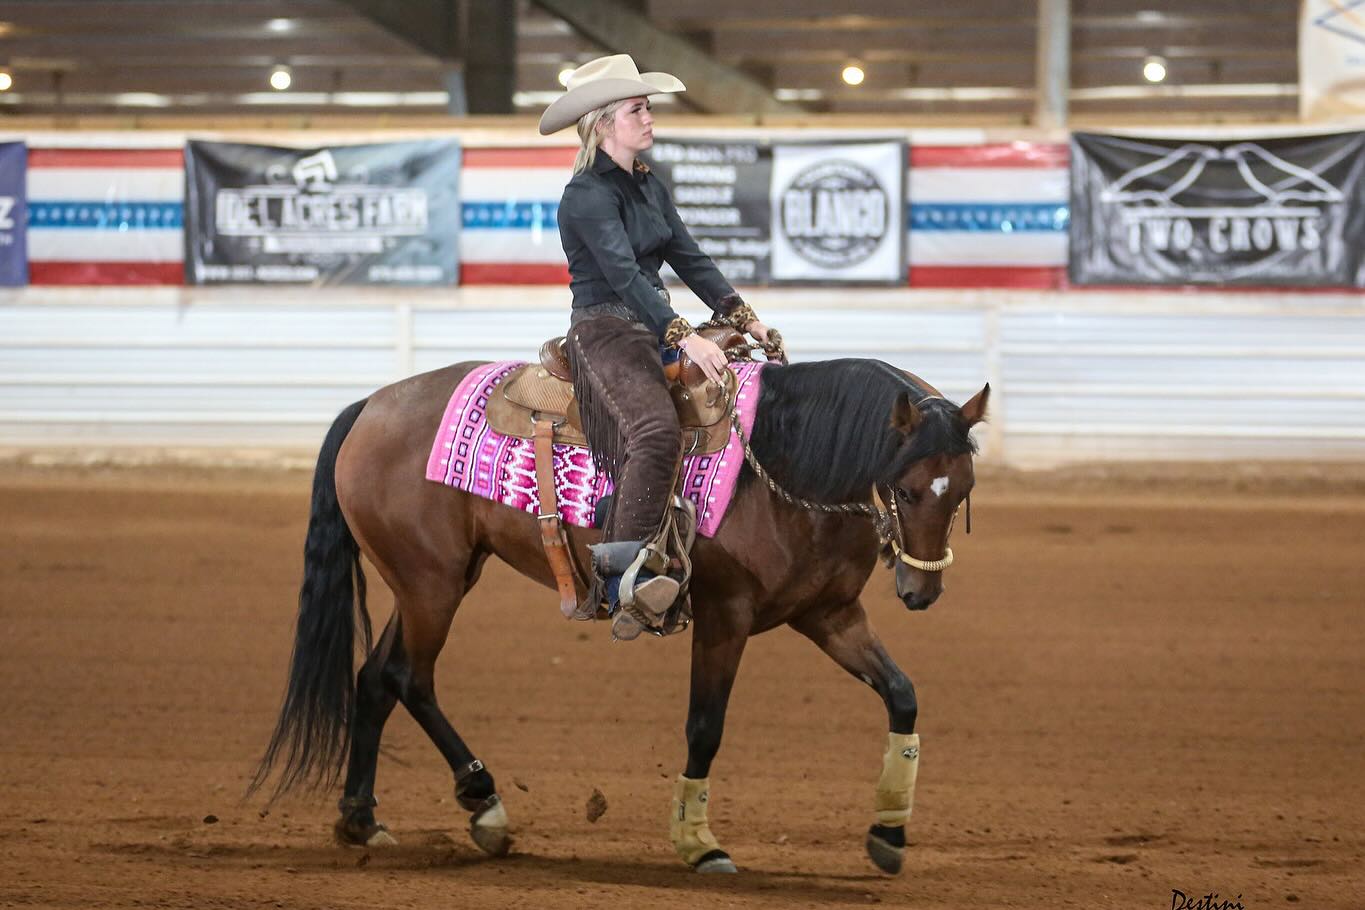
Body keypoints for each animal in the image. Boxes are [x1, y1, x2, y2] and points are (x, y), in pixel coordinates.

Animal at [248, 354, 989, 875]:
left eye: (963, 490)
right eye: (905, 488)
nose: (921, 593)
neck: (785, 464)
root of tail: (370, 405)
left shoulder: (829, 614)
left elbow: (902, 695)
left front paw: (888, 832)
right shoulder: (724, 616)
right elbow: (705, 728)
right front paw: (698, 842)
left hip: (432, 580)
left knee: (377, 679)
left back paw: (363, 817)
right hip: (430, 585)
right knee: (411, 678)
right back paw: (483, 802)